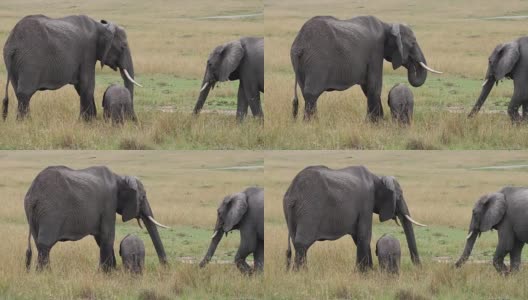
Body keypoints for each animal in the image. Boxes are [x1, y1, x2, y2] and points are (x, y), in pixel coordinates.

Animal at [2, 14, 142, 120]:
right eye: (123, 47)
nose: (132, 119)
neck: (101, 26)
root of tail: (12, 43)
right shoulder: (88, 52)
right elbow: (87, 85)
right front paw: (87, 123)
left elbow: (81, 87)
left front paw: (91, 120)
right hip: (30, 60)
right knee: (25, 93)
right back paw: (25, 123)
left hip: (15, 63)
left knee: (17, 91)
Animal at [23, 166, 168, 272]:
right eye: (143, 197)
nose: (165, 267)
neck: (120, 177)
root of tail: (33, 194)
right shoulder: (109, 202)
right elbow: (107, 236)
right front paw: (107, 274)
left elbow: (100, 238)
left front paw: (111, 271)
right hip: (51, 210)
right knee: (45, 243)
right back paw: (45, 274)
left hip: (35, 214)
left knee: (38, 243)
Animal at [282, 166, 426, 272]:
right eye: (400, 196)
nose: (418, 267)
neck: (377, 177)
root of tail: (292, 193)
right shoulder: (366, 202)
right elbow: (364, 235)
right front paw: (364, 273)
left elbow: (358, 237)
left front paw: (368, 271)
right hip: (310, 207)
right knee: (302, 243)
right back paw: (301, 273)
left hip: (293, 212)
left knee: (296, 242)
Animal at [288, 15, 442, 121]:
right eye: (412, 43)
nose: (411, 64)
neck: (387, 25)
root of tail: (299, 45)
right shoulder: (375, 52)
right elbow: (374, 86)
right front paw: (375, 123)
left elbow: (367, 87)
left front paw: (378, 121)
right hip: (317, 60)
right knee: (312, 93)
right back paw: (312, 124)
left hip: (301, 65)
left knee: (305, 92)